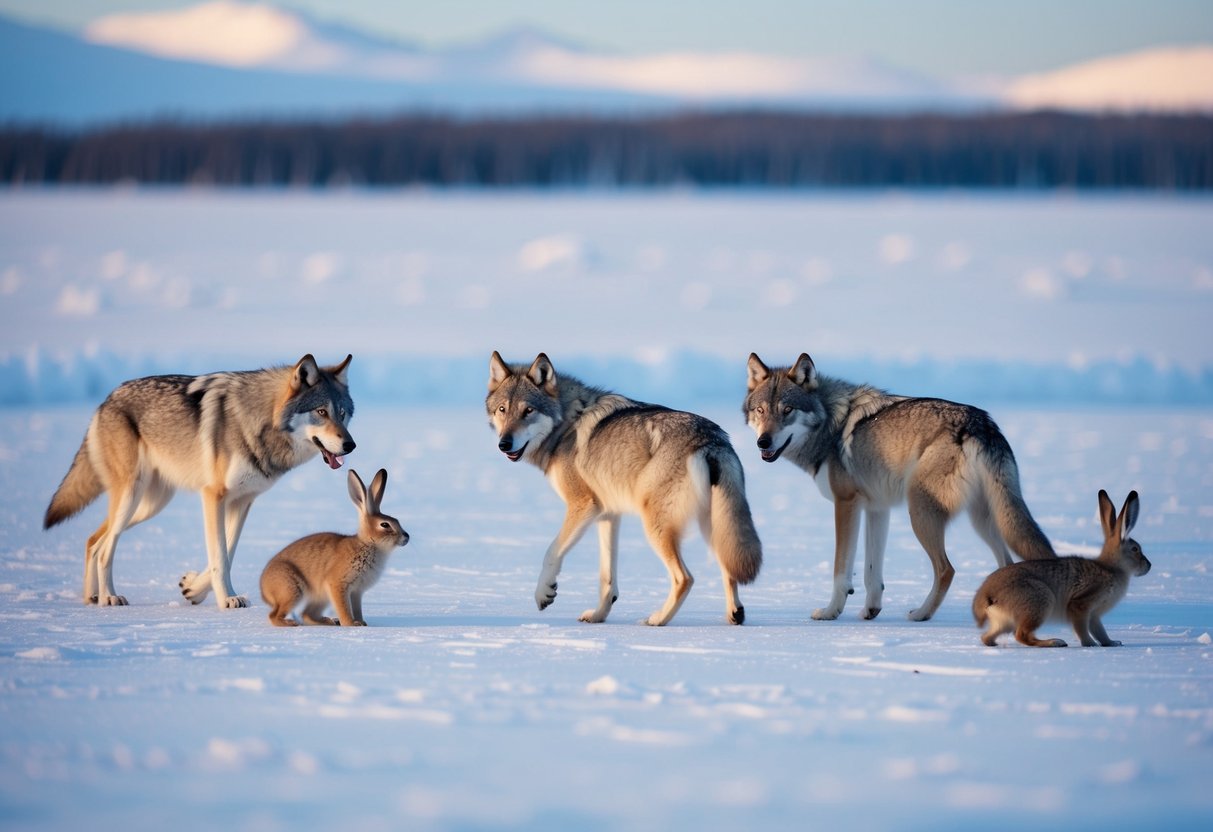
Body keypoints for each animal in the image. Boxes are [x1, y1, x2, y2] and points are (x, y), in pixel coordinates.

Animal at [44, 354, 356, 609]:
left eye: (342, 414)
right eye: (321, 412)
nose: (350, 445)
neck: (260, 422)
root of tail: (107, 399)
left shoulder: (243, 501)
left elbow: (229, 550)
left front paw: (193, 589)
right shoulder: (213, 496)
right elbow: (220, 556)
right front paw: (227, 599)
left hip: (150, 504)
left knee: (94, 541)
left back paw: (91, 597)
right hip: (131, 497)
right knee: (106, 548)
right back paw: (109, 596)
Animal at [487, 351, 762, 626]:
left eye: (528, 411)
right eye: (502, 410)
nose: (504, 443)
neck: (566, 423)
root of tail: (711, 441)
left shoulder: (583, 505)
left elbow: (551, 552)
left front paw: (544, 593)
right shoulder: (608, 514)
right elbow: (607, 578)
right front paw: (598, 615)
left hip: (655, 526)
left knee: (685, 578)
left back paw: (657, 619)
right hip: (715, 526)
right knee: (729, 569)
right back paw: (735, 615)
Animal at [744, 353, 1055, 622]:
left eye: (787, 410)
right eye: (760, 410)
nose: (763, 442)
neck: (830, 424)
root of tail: (981, 425)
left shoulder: (846, 504)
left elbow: (841, 571)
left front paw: (831, 612)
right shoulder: (876, 509)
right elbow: (871, 573)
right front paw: (870, 611)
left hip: (921, 513)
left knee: (947, 570)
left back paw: (921, 614)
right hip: (984, 520)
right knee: (1006, 563)